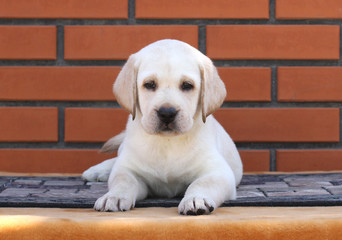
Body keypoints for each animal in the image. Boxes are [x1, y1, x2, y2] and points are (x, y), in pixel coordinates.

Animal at [82, 39, 243, 216]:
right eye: (149, 84)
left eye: (187, 85)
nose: (167, 113)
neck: (167, 143)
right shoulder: (129, 169)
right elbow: (123, 180)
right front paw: (114, 196)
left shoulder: (218, 171)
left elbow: (202, 183)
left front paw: (196, 199)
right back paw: (98, 170)